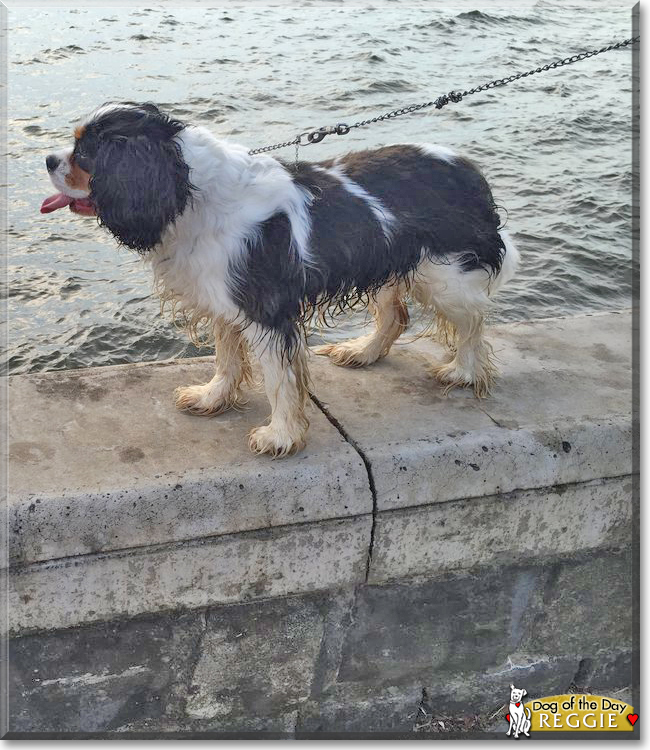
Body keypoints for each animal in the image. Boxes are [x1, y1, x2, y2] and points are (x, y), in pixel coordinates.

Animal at [41, 102, 516, 458]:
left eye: (85, 154)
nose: (47, 159)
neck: (191, 193)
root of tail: (470, 171)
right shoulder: (226, 298)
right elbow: (226, 358)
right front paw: (213, 398)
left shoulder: (266, 308)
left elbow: (278, 378)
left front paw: (280, 436)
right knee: (396, 315)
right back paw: (362, 352)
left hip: (445, 275)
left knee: (474, 322)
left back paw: (464, 372)